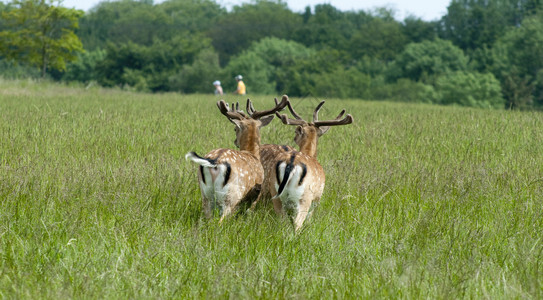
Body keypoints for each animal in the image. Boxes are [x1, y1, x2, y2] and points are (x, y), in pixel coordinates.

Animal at [258, 99, 352, 231]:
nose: (294, 137)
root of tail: (290, 164)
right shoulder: (317, 198)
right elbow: (309, 219)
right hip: (304, 198)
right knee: (297, 224)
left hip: (275, 195)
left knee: (282, 221)